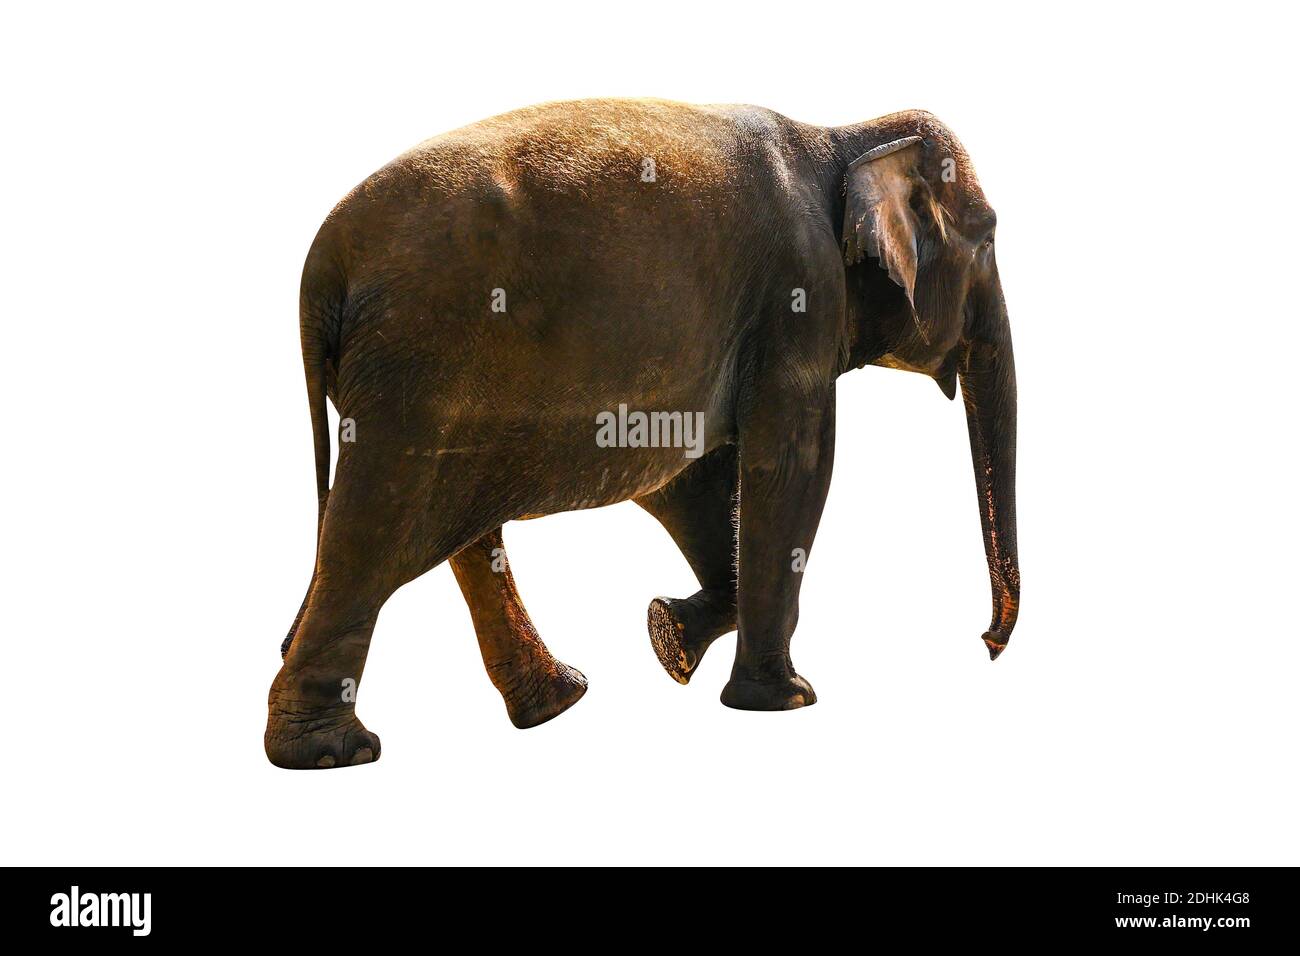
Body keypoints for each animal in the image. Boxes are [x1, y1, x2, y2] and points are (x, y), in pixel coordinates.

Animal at [266, 98, 1019, 769]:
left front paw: (669, 639)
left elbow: (693, 478)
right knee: (371, 532)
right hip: (417, 360)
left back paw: (556, 701)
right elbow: (791, 464)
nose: (984, 643)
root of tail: (320, 265)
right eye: (987, 236)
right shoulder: (799, 297)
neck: (843, 134)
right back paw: (332, 753)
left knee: (452, 530)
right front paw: (783, 700)